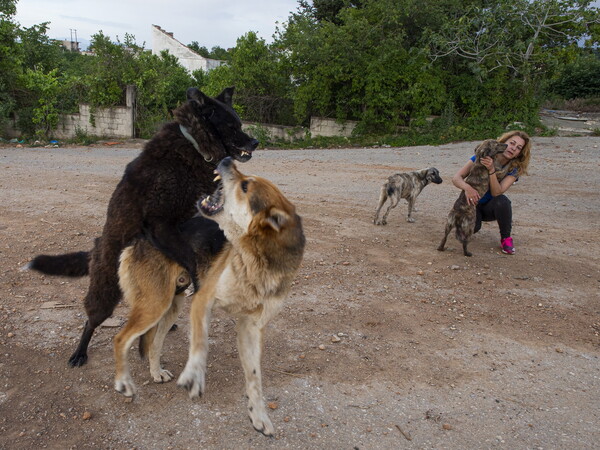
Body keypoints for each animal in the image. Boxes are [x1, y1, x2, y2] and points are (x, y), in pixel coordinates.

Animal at [27, 86, 258, 368]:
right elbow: (192, 259)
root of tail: (96, 247)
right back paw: (80, 352)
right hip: (105, 291)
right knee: (91, 320)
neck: (192, 144)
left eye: (240, 124)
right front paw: (199, 284)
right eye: (232, 126)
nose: (256, 142)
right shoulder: (158, 224)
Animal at [113, 157, 304, 436]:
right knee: (121, 339)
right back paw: (123, 382)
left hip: (171, 307)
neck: (253, 260)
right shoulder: (203, 300)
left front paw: (259, 416)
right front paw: (193, 376)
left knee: (154, 343)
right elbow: (200, 344)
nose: (226, 160)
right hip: (155, 305)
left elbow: (254, 378)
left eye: (245, 186)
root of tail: (139, 238)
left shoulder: (251, 327)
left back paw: (156, 372)